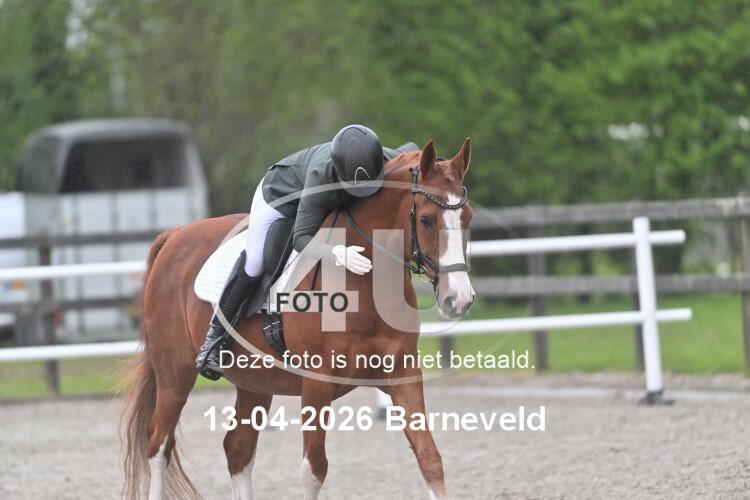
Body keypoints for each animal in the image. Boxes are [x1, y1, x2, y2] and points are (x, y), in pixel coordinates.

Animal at [121, 138, 474, 500]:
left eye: (468, 218)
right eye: (427, 220)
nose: (458, 299)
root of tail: (175, 236)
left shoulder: (403, 373)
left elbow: (429, 456)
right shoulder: (317, 384)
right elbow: (313, 470)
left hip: (254, 381)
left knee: (238, 449)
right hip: (174, 373)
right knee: (158, 445)